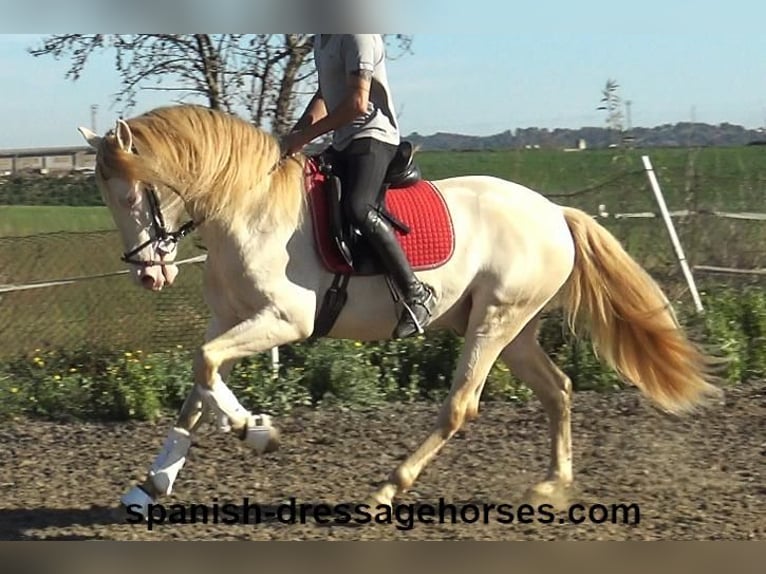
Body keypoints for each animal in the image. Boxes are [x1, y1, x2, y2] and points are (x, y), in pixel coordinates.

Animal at [76, 106, 720, 520]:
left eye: (132, 194)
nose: (149, 274)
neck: (247, 207)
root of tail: (555, 213)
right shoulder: (231, 320)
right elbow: (198, 386)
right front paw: (150, 487)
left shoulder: (284, 322)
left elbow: (205, 368)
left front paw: (257, 433)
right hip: (513, 328)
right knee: (558, 390)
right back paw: (552, 487)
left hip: (494, 322)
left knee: (461, 406)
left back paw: (386, 491)